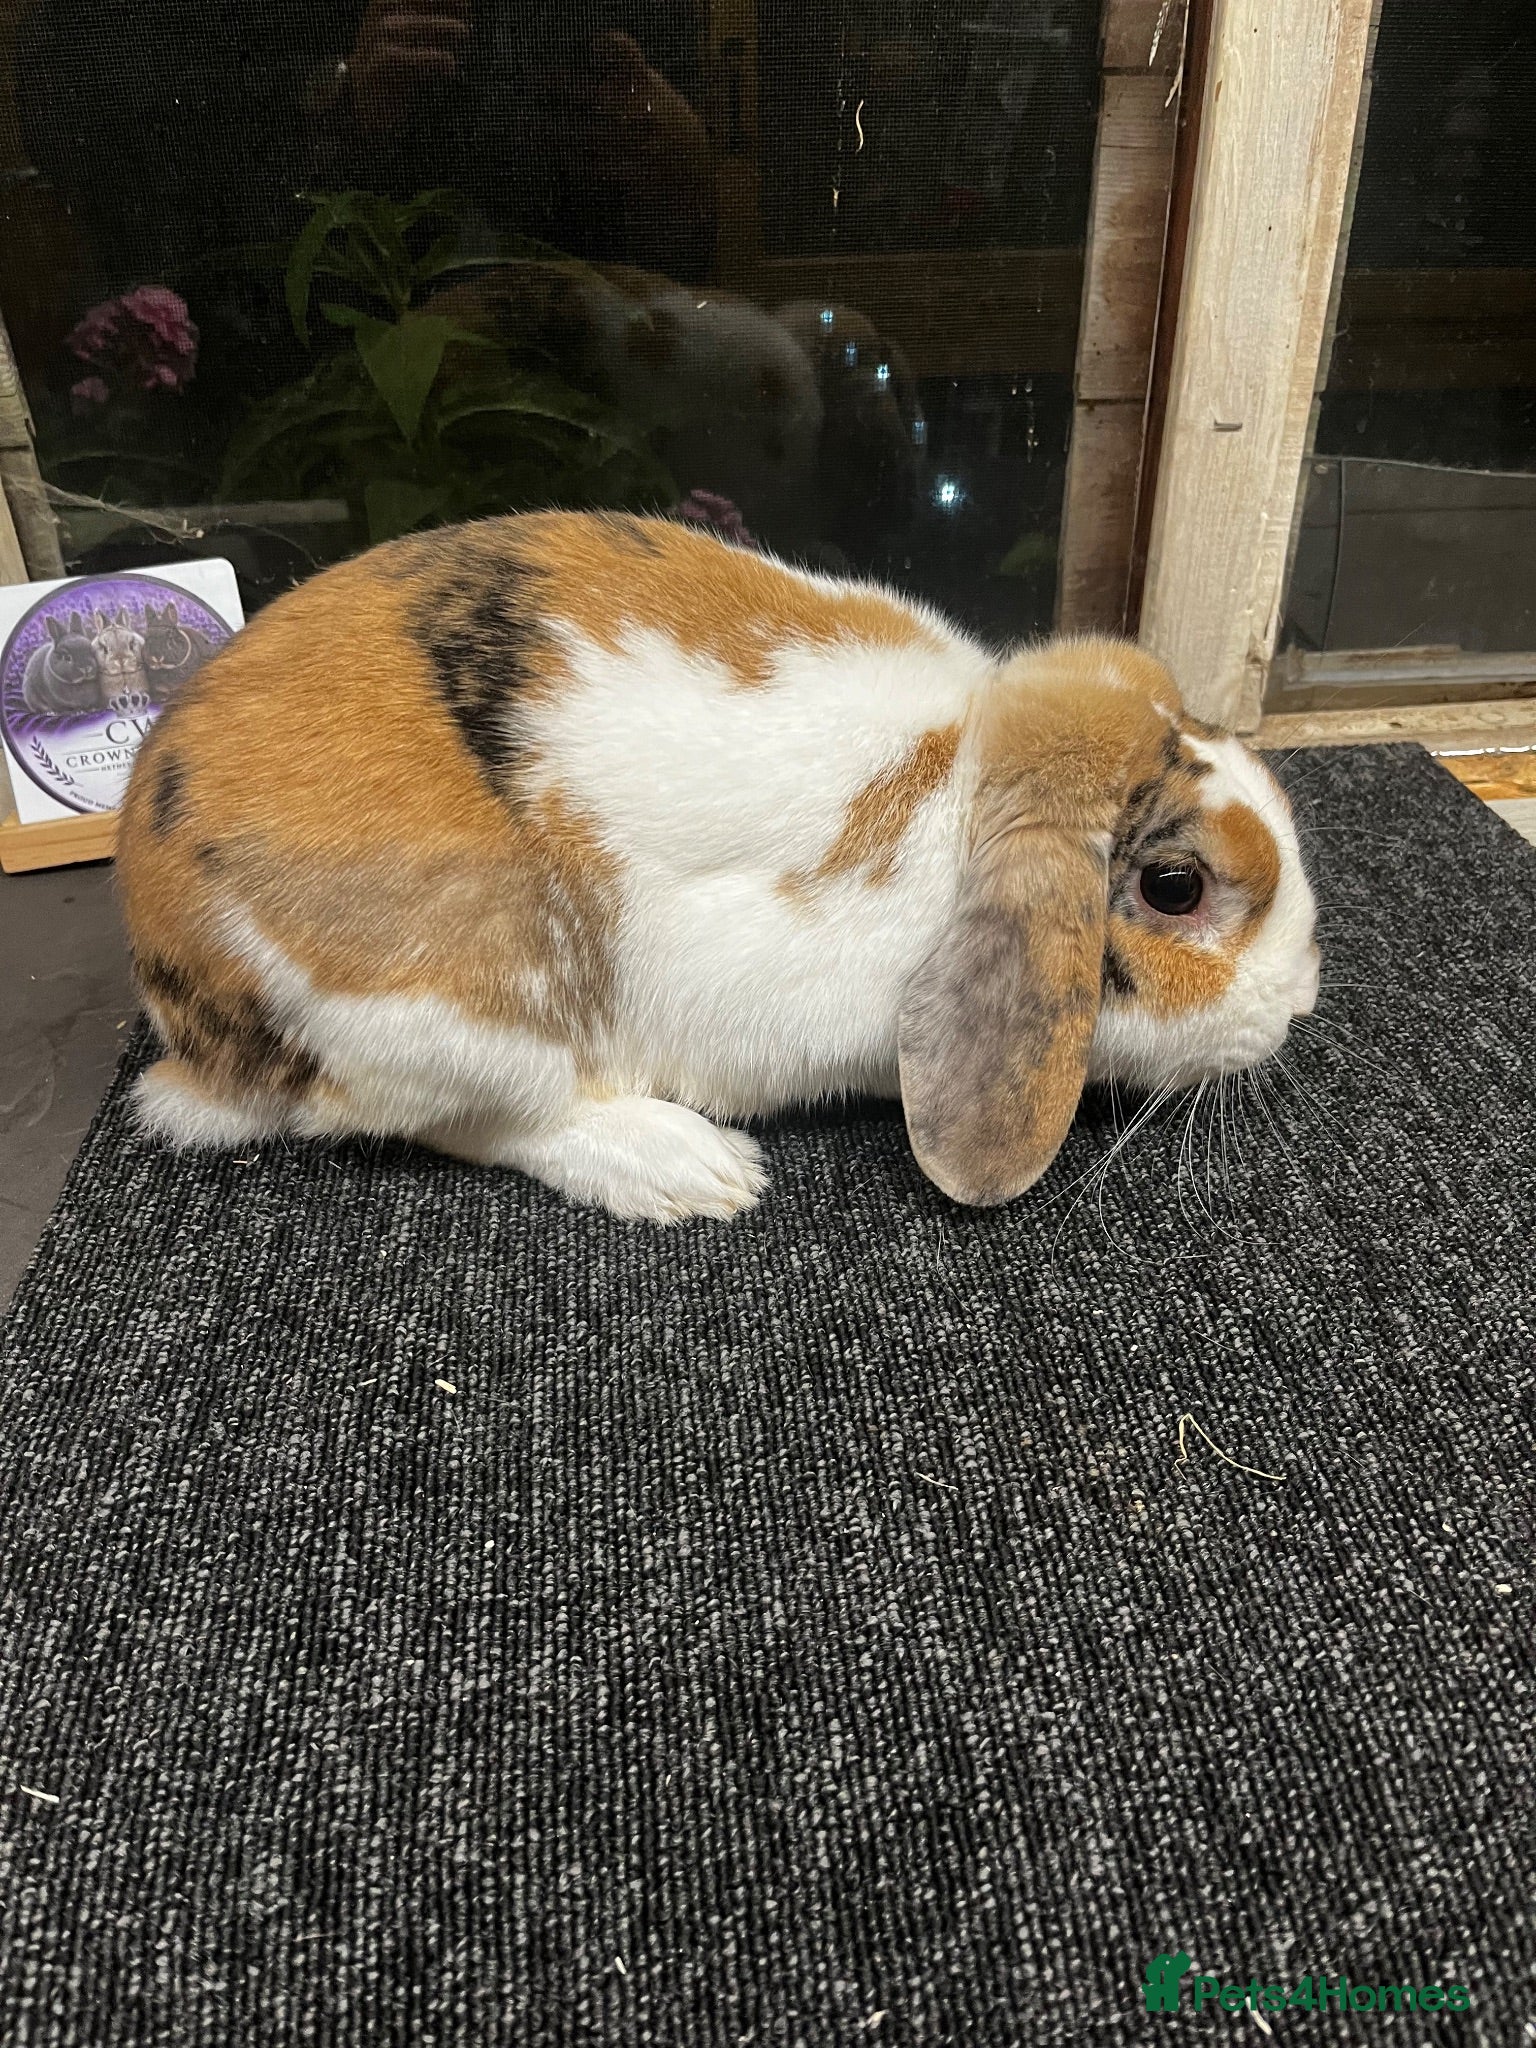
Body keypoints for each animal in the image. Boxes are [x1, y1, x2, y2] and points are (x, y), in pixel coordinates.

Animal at [117, 511, 1320, 1223]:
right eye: (1175, 888)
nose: (1303, 1002)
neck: (962, 788)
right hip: (449, 1007)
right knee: (477, 1117)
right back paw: (692, 1172)